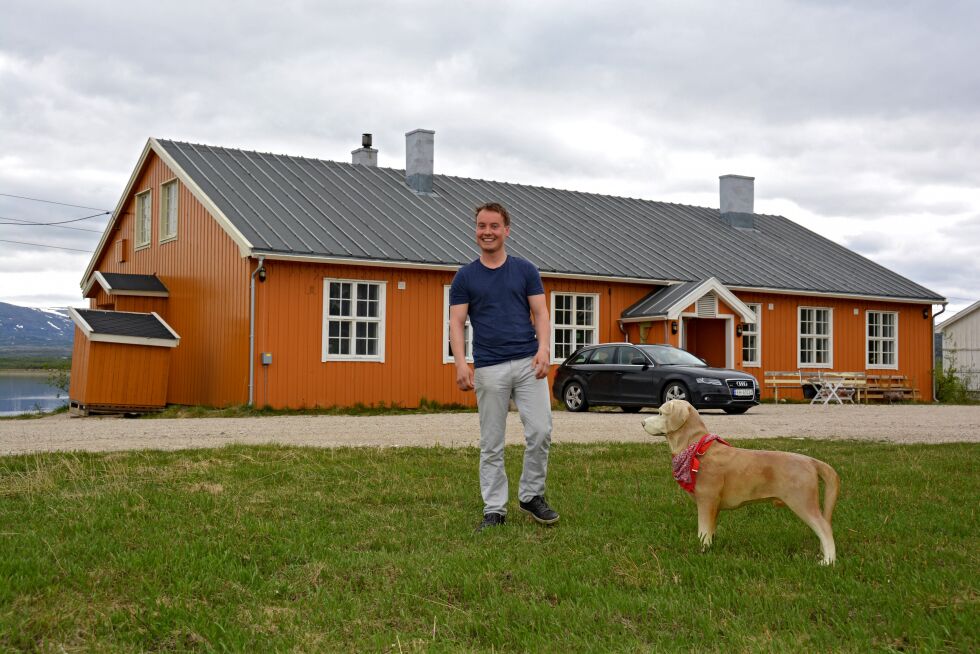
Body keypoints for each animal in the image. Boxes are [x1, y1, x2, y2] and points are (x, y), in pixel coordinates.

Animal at [644, 398, 844, 568]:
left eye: (660, 413)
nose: (643, 422)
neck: (697, 449)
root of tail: (811, 461)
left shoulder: (706, 500)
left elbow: (703, 531)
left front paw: (702, 550)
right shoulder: (714, 506)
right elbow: (711, 529)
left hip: (802, 502)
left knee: (825, 528)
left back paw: (828, 561)